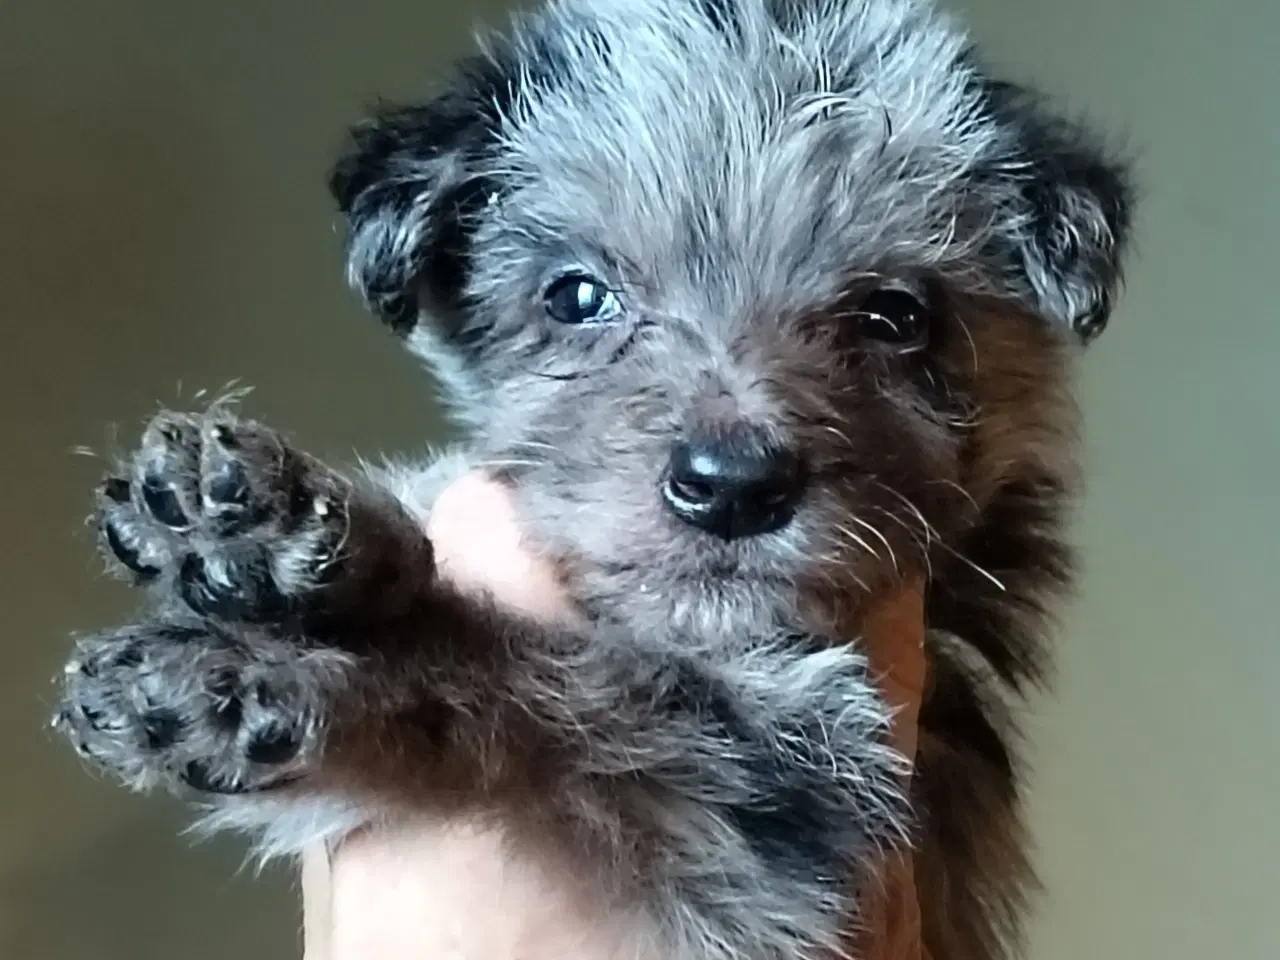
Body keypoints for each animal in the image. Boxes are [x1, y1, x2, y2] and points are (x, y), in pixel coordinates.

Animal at [52, 1, 1131, 960]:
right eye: (576, 296)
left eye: (896, 317)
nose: (731, 487)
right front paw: (262, 523)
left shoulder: (787, 791)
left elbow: (567, 692)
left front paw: (269, 675)